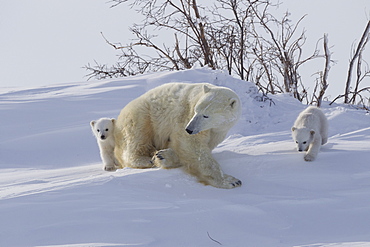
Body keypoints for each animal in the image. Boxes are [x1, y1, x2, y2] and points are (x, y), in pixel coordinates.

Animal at [113, 83, 243, 189]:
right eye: (196, 110)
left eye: (206, 115)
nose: (189, 129)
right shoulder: (187, 116)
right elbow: (191, 146)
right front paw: (231, 181)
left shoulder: (218, 131)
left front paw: (163, 156)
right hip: (142, 114)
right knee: (137, 136)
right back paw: (145, 160)